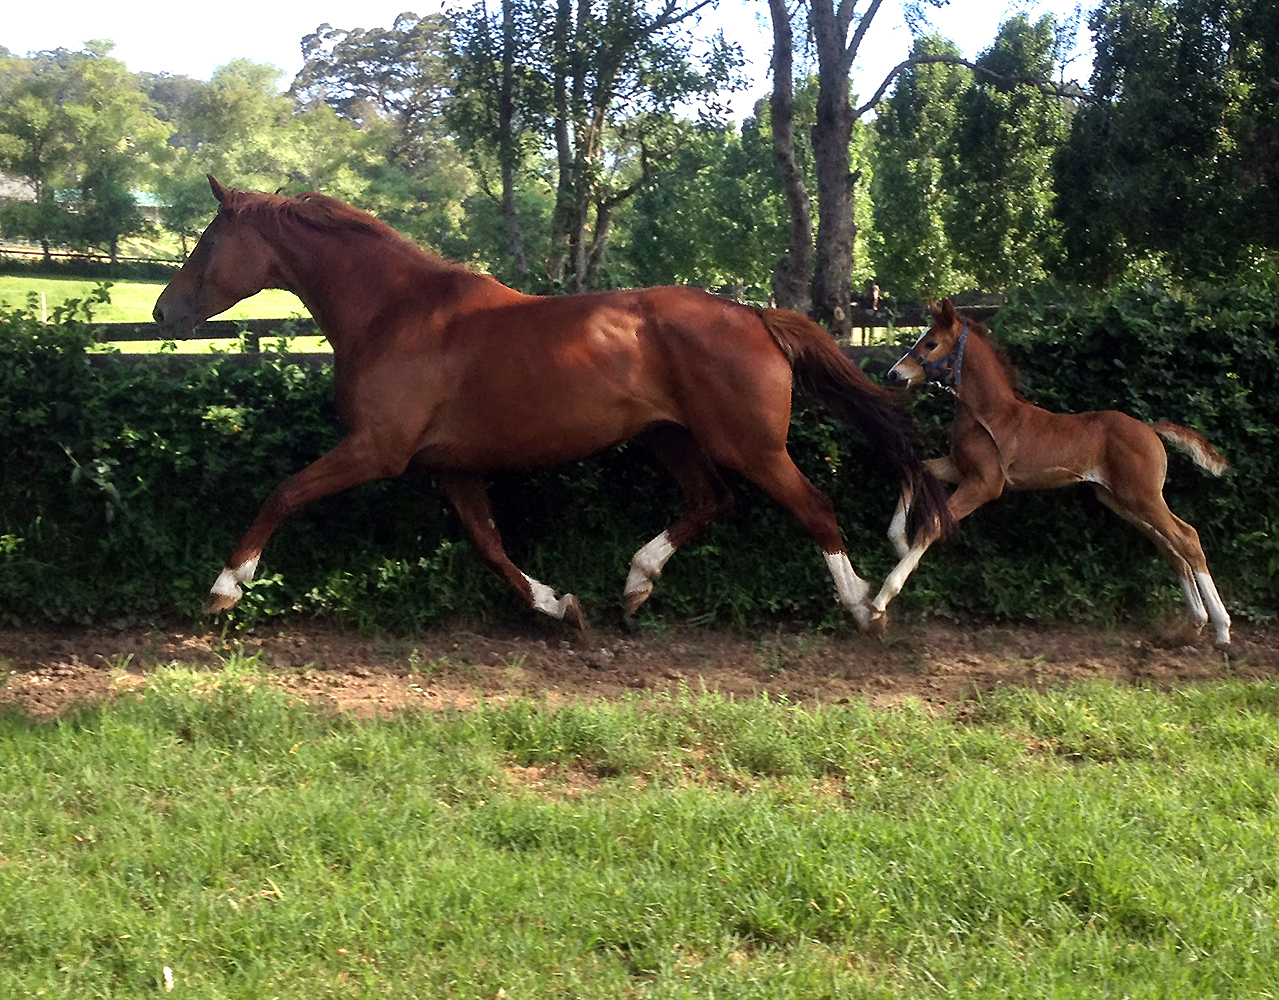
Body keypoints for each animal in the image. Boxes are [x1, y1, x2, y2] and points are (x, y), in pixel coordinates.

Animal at [152, 176, 951, 628]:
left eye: (207, 241)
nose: (163, 312)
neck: (396, 313)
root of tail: (753, 315)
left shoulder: (377, 451)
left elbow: (284, 493)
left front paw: (225, 588)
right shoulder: (451, 466)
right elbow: (488, 543)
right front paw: (556, 604)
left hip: (748, 444)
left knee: (812, 507)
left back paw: (864, 607)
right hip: (670, 436)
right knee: (710, 501)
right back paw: (634, 585)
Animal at [870, 297, 1232, 647]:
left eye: (930, 343)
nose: (894, 374)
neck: (990, 413)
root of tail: (1151, 429)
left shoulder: (985, 485)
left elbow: (932, 524)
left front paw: (881, 600)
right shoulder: (960, 469)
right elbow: (916, 469)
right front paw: (898, 540)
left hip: (1143, 497)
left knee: (1188, 538)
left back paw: (1222, 629)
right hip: (1120, 500)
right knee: (1170, 548)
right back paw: (1196, 623)